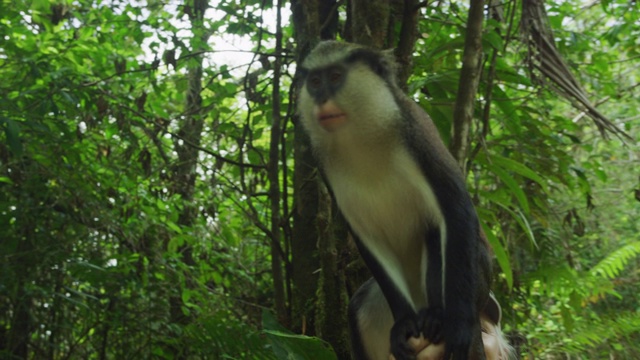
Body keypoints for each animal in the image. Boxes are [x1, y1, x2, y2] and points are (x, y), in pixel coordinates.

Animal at [298, 40, 492, 360]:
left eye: (335, 76)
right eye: (314, 82)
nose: (321, 100)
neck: (361, 137)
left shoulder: (417, 136)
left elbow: (456, 209)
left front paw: (458, 324)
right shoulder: (323, 165)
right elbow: (365, 236)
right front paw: (403, 324)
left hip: (479, 278)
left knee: (435, 232)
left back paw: (437, 316)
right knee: (360, 306)